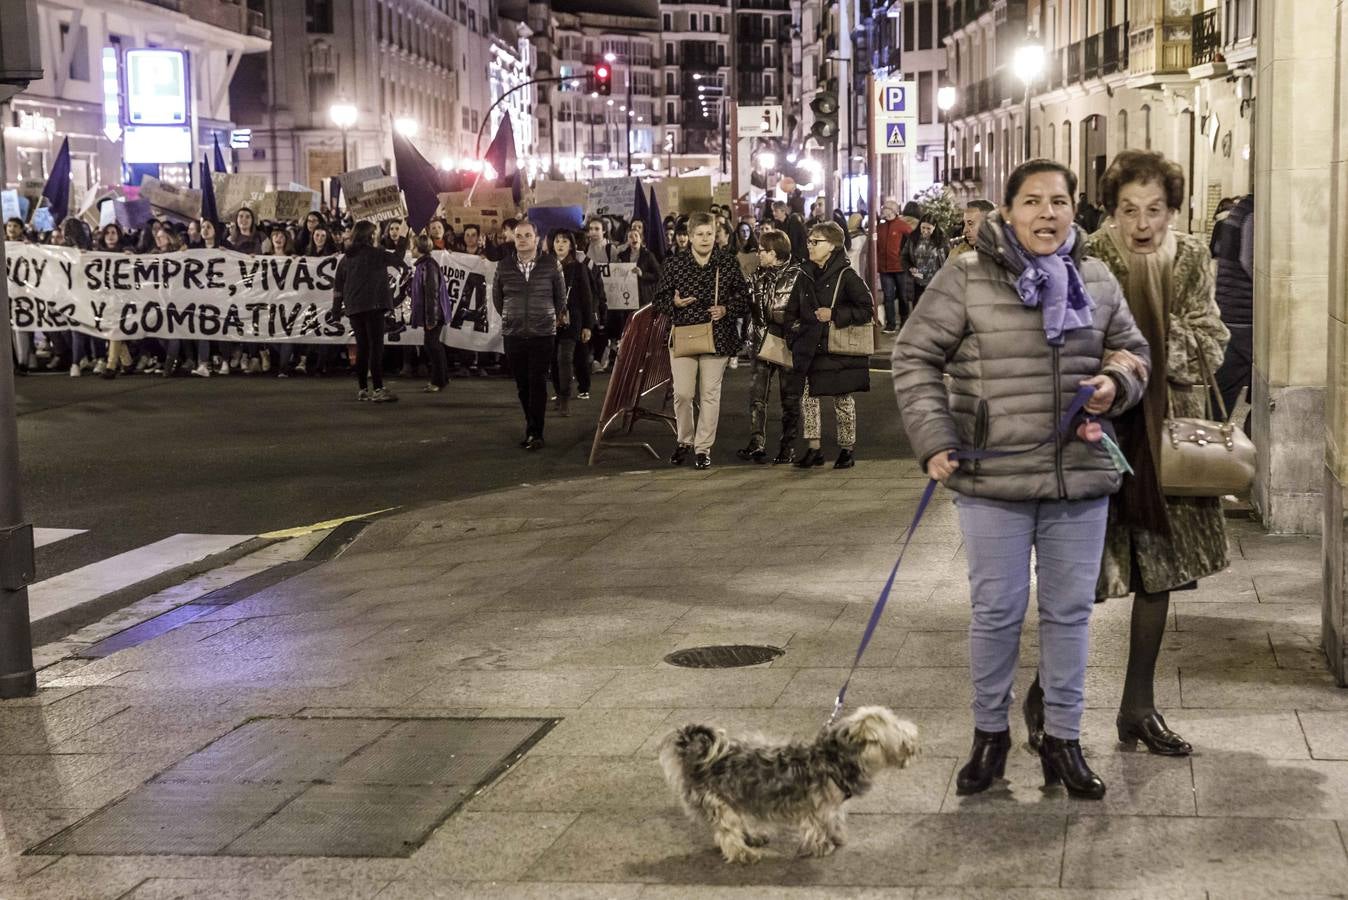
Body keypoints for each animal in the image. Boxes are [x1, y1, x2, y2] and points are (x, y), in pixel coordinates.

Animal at [657, 705, 922, 862]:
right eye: (895, 727)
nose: (914, 734)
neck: (835, 759)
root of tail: (693, 755)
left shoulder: (831, 806)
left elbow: (834, 820)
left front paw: (837, 836)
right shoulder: (815, 807)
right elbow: (817, 826)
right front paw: (823, 846)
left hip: (733, 797)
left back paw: (752, 837)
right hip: (718, 802)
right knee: (726, 833)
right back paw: (744, 853)